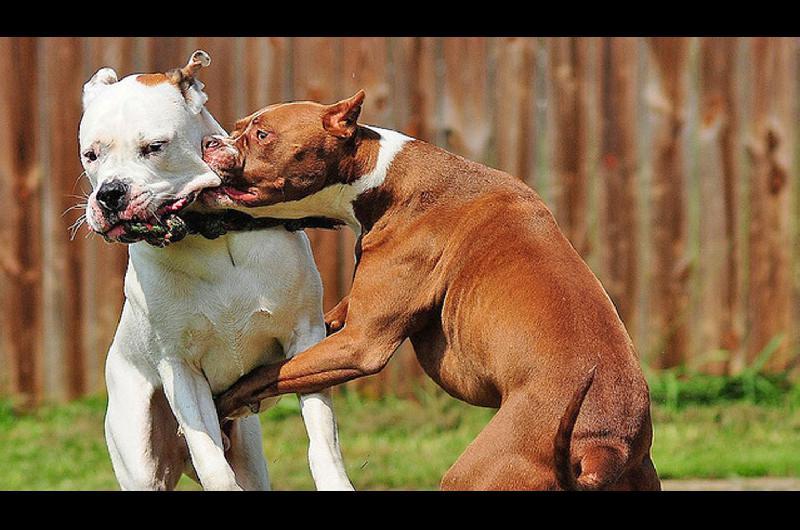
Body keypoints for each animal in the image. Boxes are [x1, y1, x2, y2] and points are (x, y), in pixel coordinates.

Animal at [79, 51, 354, 488]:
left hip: (249, 454)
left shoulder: (306, 338)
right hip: (140, 453)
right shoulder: (181, 370)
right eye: (91, 155)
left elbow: (322, 436)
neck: (210, 235)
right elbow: (212, 464)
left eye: (154, 147)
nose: (109, 194)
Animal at [198, 92, 656, 490]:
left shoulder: (359, 344)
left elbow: (267, 373)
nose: (210, 142)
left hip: (477, 474)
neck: (381, 178)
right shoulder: (345, 323)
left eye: (262, 134)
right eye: (237, 127)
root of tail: (605, 449)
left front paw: (224, 401)